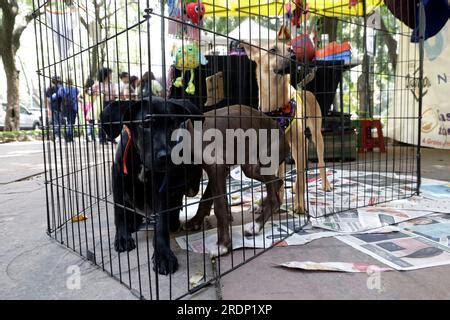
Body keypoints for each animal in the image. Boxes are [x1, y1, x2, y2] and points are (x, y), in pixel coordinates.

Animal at [101, 97, 203, 276]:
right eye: (146, 124)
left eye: (174, 124)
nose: (166, 156)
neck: (142, 163)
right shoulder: (117, 175)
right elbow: (119, 210)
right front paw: (122, 237)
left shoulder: (160, 185)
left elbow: (161, 223)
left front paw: (163, 254)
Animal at [241, 41, 332, 214]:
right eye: (272, 50)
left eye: (290, 49)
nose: (294, 56)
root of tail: (304, 90)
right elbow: (279, 178)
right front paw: (276, 202)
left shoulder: (297, 144)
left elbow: (300, 176)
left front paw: (300, 206)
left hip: (316, 138)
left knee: (319, 163)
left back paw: (325, 185)